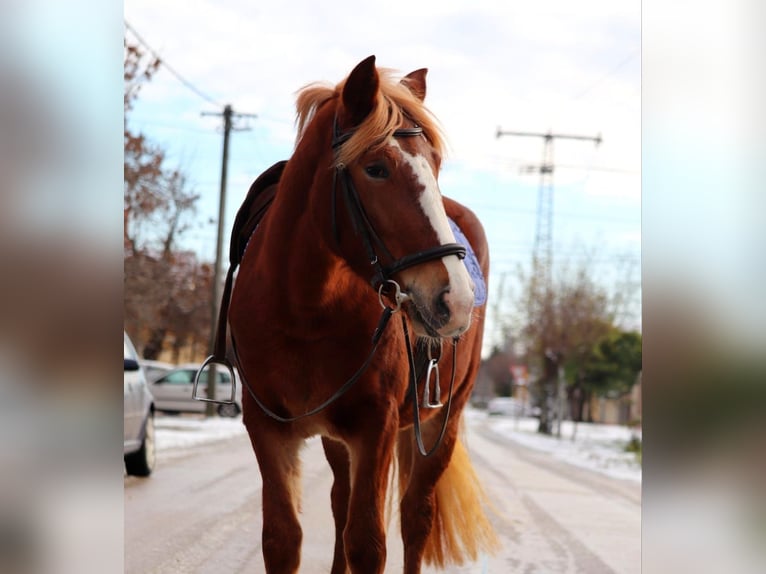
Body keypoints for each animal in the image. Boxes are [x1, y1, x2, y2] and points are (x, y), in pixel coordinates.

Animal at [222, 55, 498, 574]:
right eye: (375, 168)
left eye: (435, 165)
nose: (455, 299)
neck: (304, 312)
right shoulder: (268, 430)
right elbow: (284, 538)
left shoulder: (377, 428)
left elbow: (368, 542)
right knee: (340, 502)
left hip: (442, 424)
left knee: (414, 516)